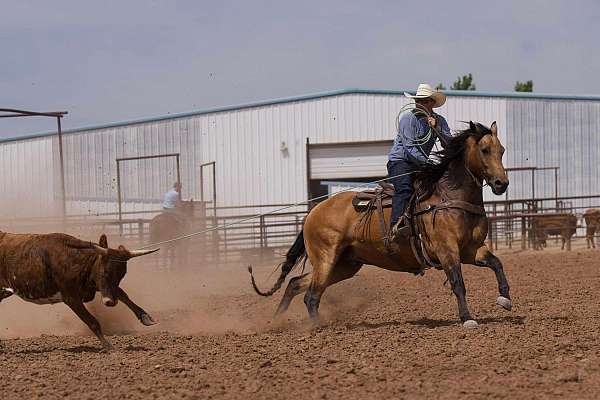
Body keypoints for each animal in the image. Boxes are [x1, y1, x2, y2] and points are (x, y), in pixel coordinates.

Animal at [250, 122, 510, 328]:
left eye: (502, 151)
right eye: (485, 150)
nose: (502, 183)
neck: (449, 196)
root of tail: (313, 211)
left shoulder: (470, 249)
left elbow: (496, 263)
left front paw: (505, 299)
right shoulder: (447, 250)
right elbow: (458, 282)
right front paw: (467, 318)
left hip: (345, 264)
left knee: (296, 284)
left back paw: (277, 321)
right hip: (325, 258)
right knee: (312, 295)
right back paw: (317, 326)